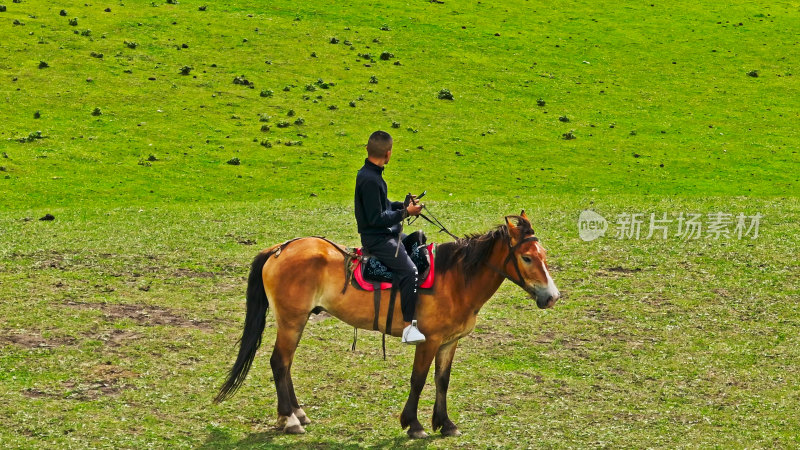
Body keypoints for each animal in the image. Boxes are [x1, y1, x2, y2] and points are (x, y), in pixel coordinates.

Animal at [216, 213, 560, 438]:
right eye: (527, 258)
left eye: (543, 254)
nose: (552, 296)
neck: (456, 279)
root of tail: (280, 248)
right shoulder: (429, 340)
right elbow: (418, 380)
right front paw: (414, 425)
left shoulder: (450, 342)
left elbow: (442, 381)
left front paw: (445, 424)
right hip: (291, 320)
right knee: (279, 362)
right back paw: (289, 420)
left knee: (286, 365)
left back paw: (298, 413)